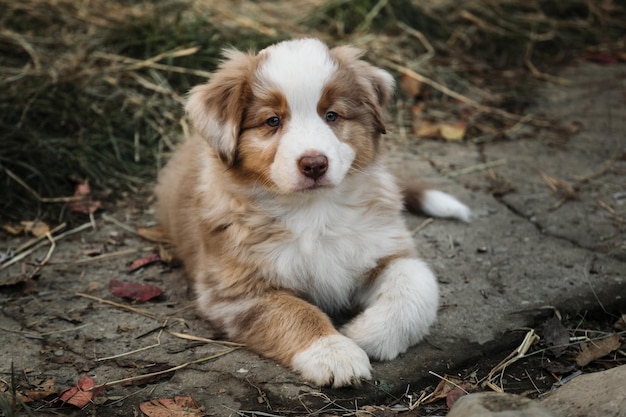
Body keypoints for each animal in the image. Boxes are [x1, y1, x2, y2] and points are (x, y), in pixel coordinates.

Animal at [155, 38, 468, 386]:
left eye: (331, 115)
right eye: (273, 121)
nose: (315, 164)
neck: (314, 211)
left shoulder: (386, 248)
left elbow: (417, 285)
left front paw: (368, 334)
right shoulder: (235, 292)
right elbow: (296, 312)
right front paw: (335, 353)